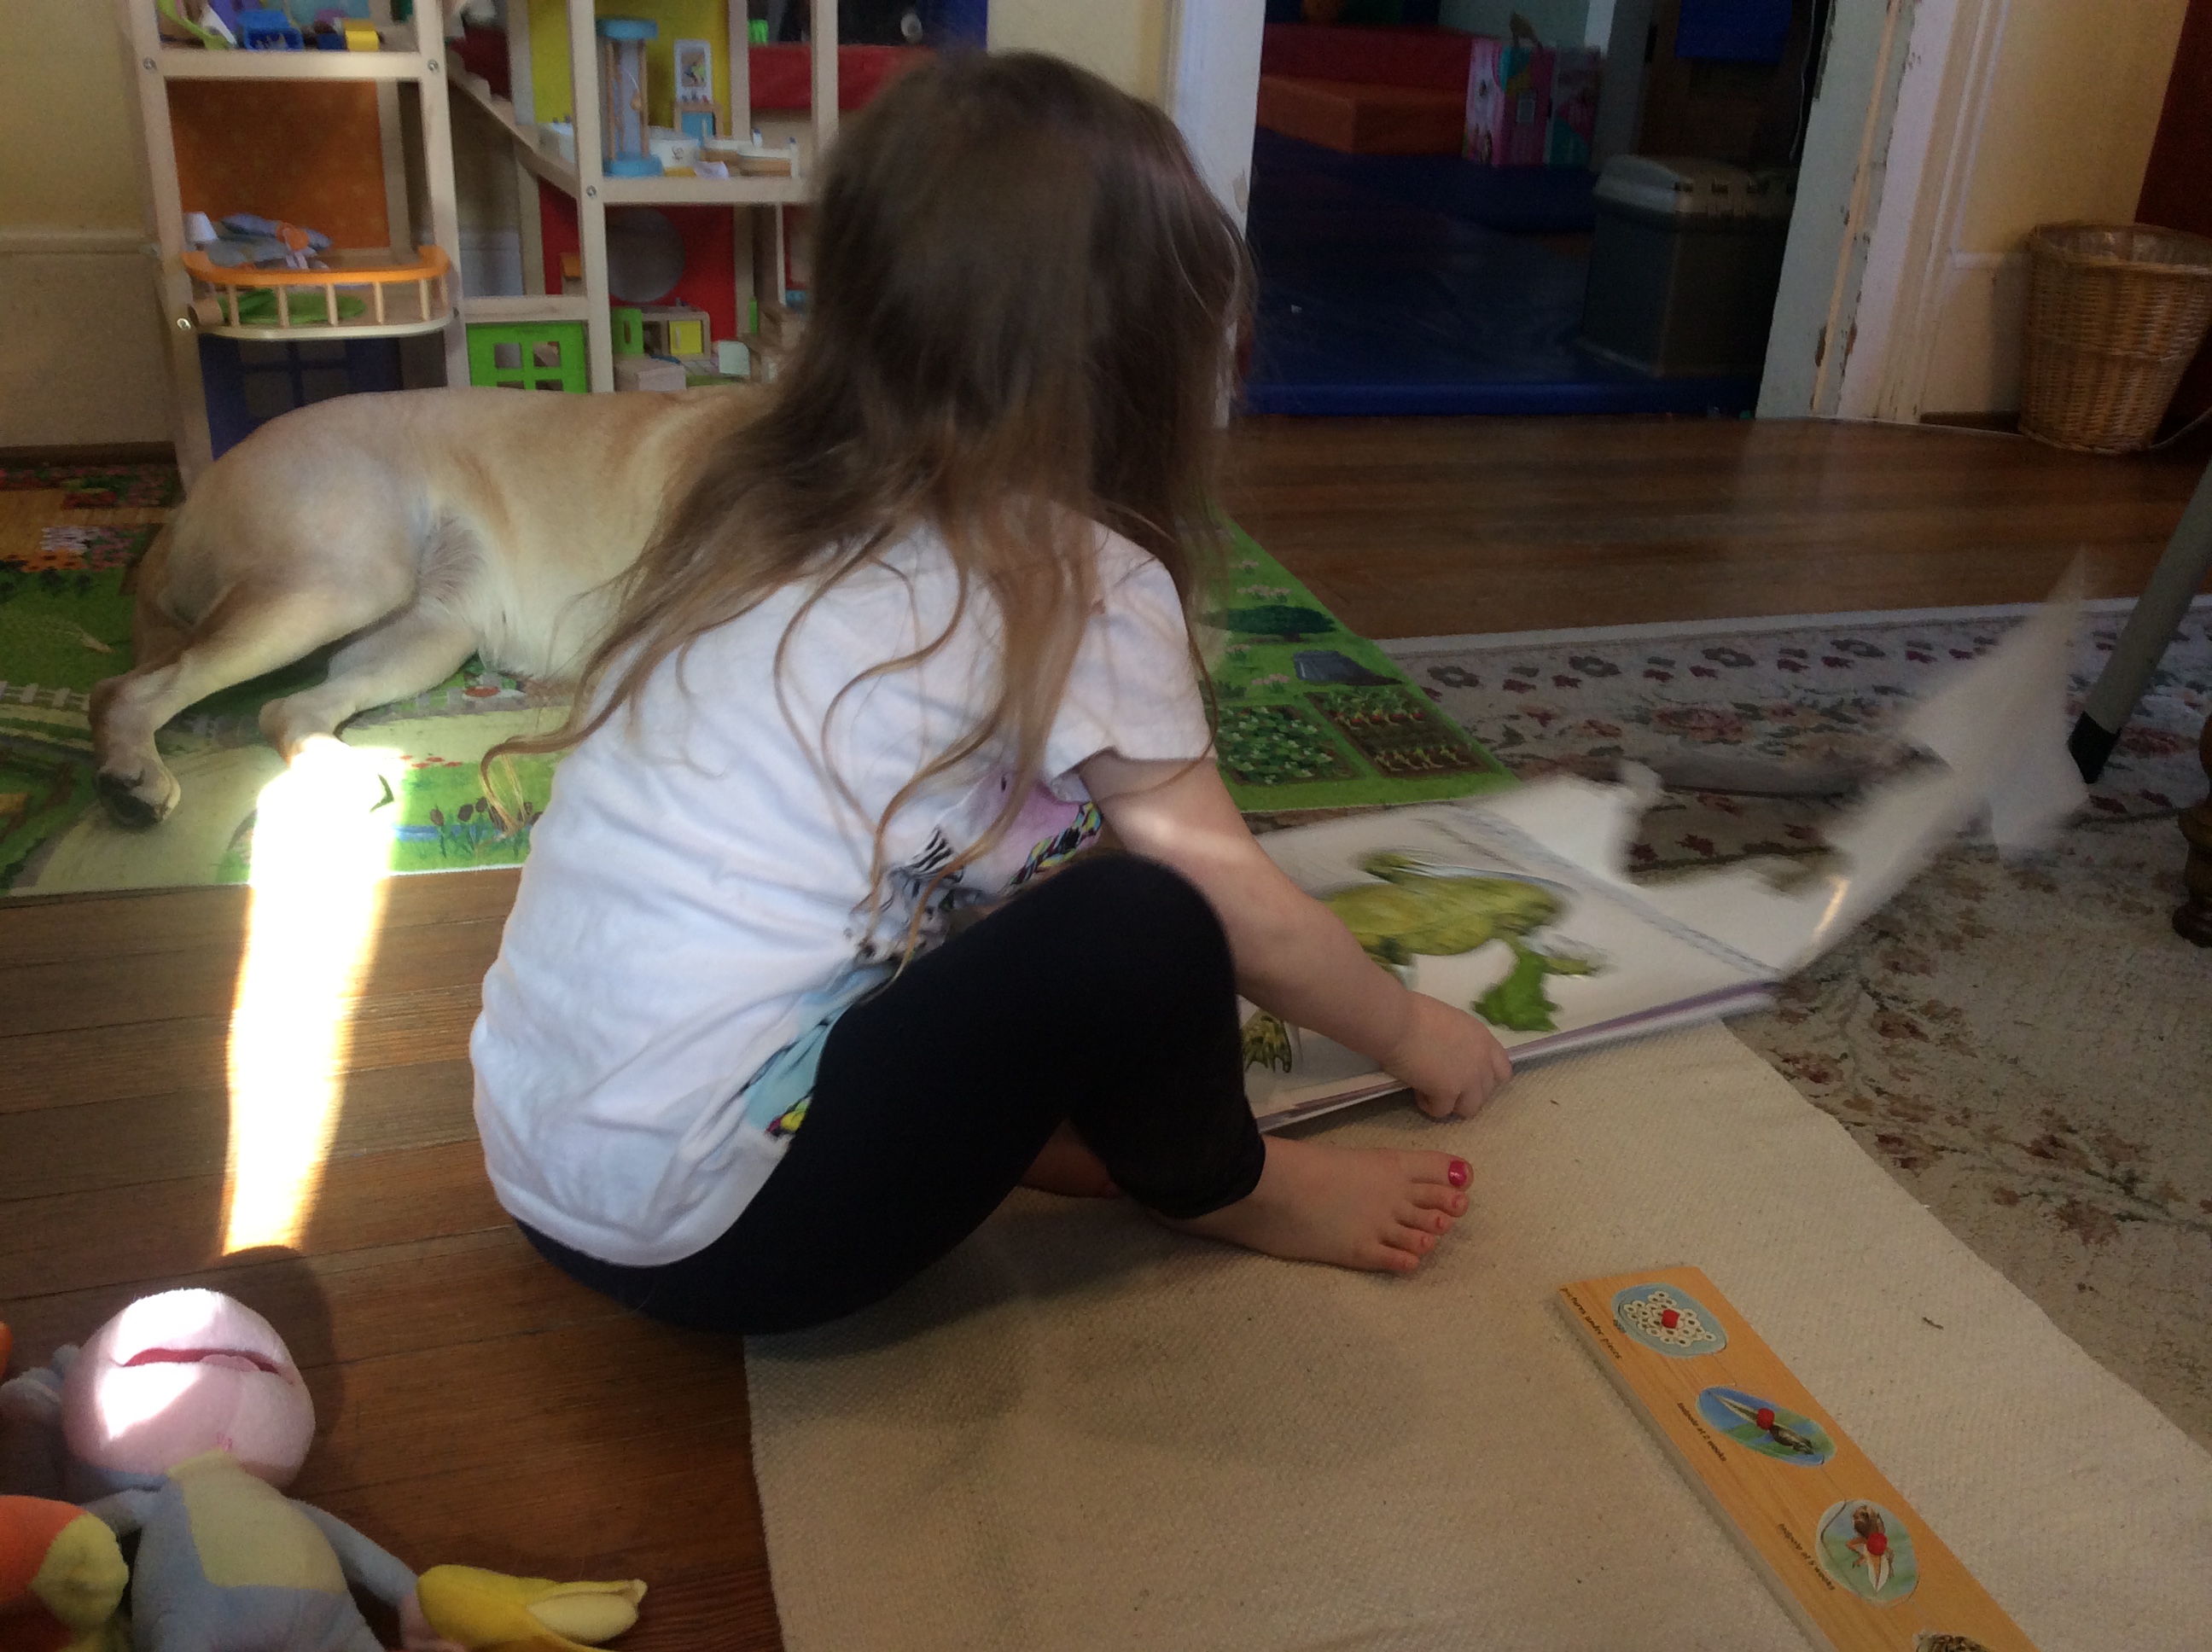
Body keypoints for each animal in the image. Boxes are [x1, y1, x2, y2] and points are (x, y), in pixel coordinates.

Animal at [90, 385, 756, 826]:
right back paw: (132, 776)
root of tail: (190, 496)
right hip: (341, 583)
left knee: (282, 709)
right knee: (126, 689)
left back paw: (342, 773)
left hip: (427, 636)